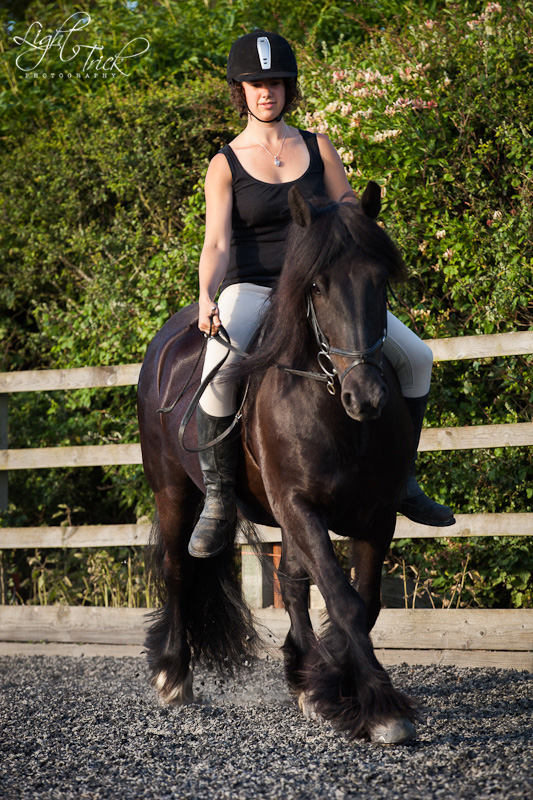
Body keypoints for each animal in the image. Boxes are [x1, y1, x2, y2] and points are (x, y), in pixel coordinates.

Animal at [137, 182, 417, 744]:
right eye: (317, 288)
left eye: (380, 280)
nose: (367, 396)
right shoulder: (299, 506)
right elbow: (344, 600)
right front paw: (382, 710)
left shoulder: (376, 515)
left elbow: (363, 600)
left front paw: (329, 681)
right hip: (174, 492)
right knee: (179, 568)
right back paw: (174, 677)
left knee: (290, 581)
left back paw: (302, 672)